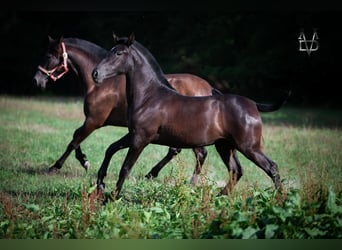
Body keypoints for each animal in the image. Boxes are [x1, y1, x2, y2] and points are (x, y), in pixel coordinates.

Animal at [32, 36, 219, 183]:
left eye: (48, 55)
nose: (36, 80)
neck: (101, 85)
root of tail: (209, 88)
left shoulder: (94, 121)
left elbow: (74, 140)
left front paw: (58, 166)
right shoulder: (94, 121)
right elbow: (76, 137)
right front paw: (84, 161)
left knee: (197, 153)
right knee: (181, 151)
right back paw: (152, 174)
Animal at [91, 33, 288, 199]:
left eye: (119, 53)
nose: (95, 74)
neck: (149, 97)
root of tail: (253, 104)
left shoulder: (141, 139)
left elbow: (125, 168)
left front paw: (112, 197)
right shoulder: (133, 135)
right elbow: (110, 148)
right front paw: (100, 185)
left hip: (249, 147)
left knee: (271, 167)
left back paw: (281, 199)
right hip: (226, 146)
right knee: (236, 171)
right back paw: (218, 197)